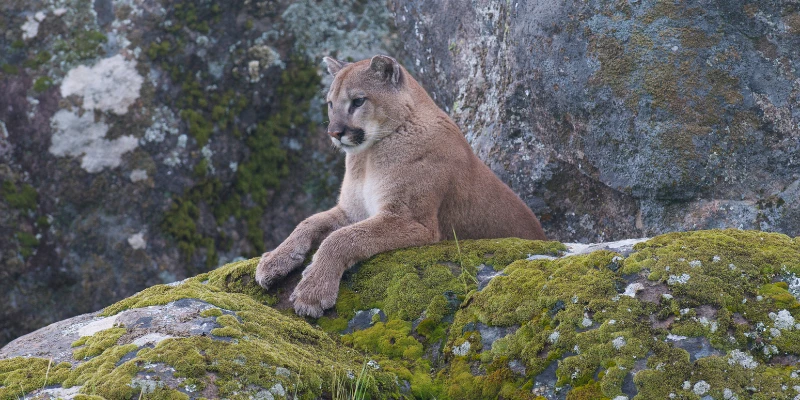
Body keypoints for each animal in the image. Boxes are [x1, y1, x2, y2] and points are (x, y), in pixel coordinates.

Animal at [260, 54, 548, 318]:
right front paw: (273, 261)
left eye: (357, 101)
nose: (334, 132)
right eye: (330, 104)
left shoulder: (410, 220)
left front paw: (313, 291)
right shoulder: (352, 211)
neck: (368, 157)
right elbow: (308, 222)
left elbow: (341, 238)